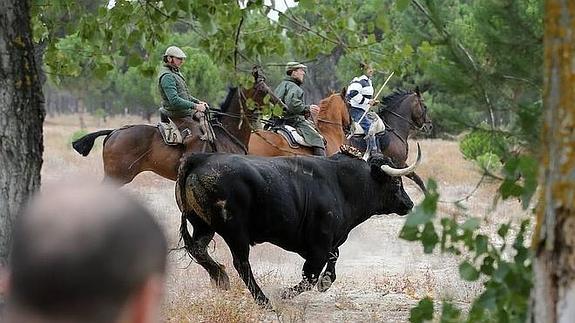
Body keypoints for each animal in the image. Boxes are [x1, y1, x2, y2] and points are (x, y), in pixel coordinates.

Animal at [176, 146, 424, 308]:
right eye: (396, 182)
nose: (409, 204)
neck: (342, 185)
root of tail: (199, 159)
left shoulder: (328, 242)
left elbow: (331, 261)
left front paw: (326, 282)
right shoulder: (319, 244)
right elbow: (310, 275)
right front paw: (283, 293)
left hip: (203, 225)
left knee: (198, 250)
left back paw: (220, 277)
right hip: (235, 231)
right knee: (241, 264)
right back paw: (264, 301)